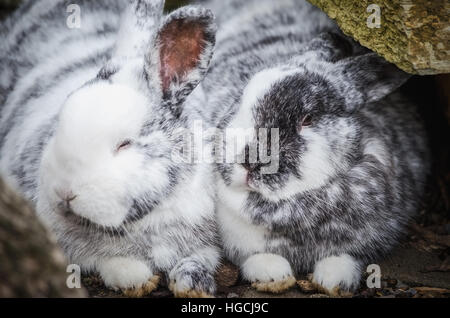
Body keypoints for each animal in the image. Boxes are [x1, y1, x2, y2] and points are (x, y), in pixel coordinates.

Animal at [0, 0, 221, 298]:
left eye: (124, 144)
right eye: (60, 121)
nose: (65, 192)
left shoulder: (207, 238)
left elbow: (201, 258)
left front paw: (193, 284)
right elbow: (112, 263)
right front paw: (137, 280)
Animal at [197, 0, 428, 294]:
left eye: (307, 119)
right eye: (240, 97)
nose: (249, 161)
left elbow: (344, 258)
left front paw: (334, 280)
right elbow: (257, 257)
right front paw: (272, 275)